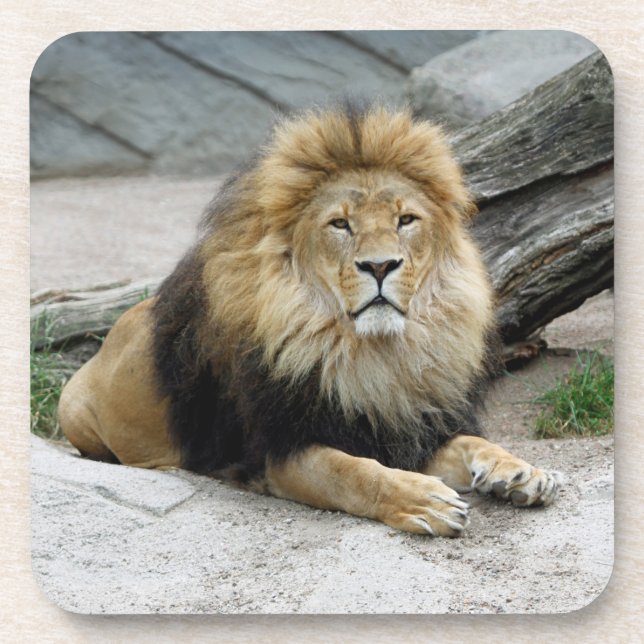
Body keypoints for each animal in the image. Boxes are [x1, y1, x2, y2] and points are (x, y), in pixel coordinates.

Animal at [58, 102, 559, 537]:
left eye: (406, 220)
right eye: (341, 224)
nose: (380, 266)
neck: (376, 354)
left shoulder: (406, 426)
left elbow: (472, 442)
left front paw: (520, 471)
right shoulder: (277, 451)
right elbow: (354, 472)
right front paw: (424, 500)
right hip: (73, 410)